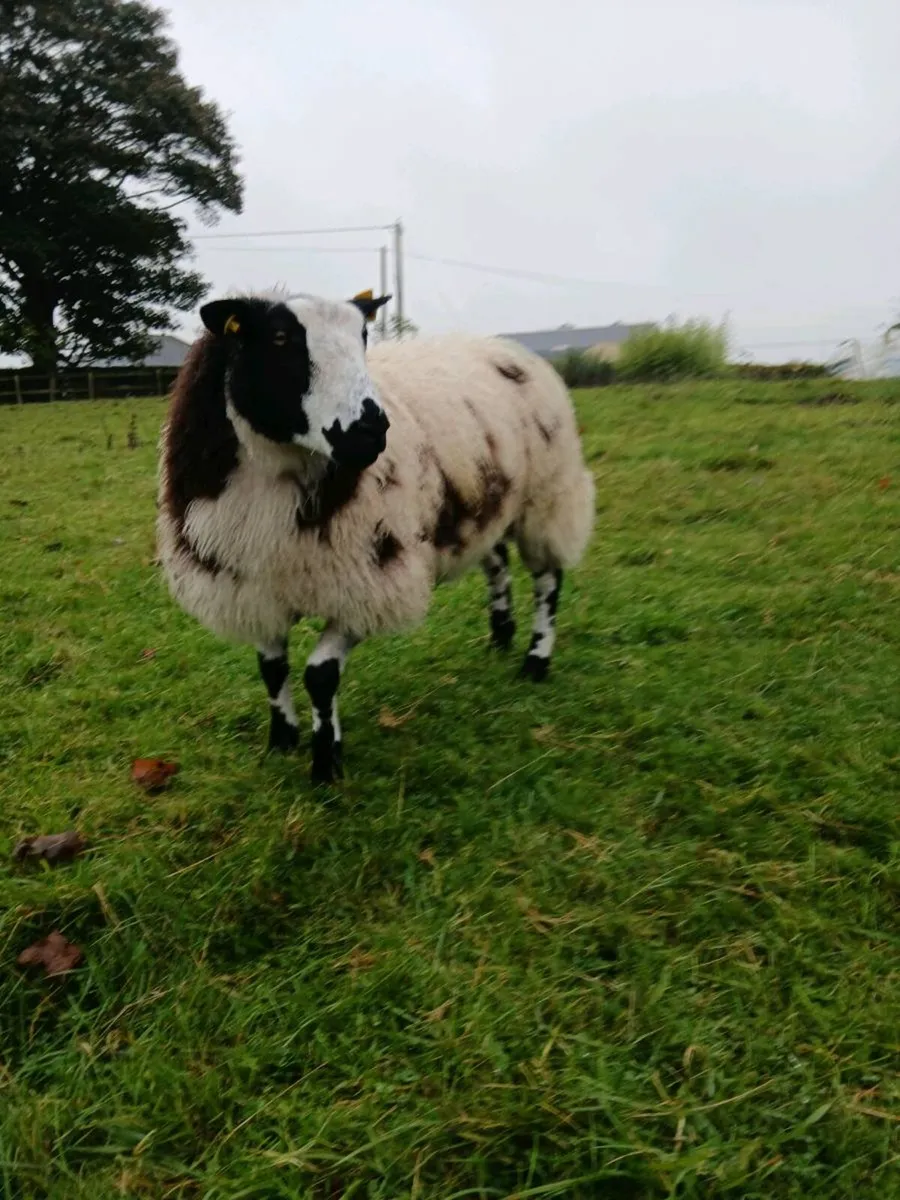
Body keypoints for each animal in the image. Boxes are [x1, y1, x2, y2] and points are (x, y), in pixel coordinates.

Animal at [157, 290, 595, 783]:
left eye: (363, 335)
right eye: (280, 337)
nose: (369, 430)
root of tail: (504, 345)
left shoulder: (368, 585)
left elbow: (320, 675)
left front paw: (326, 760)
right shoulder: (256, 586)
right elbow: (271, 668)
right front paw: (282, 740)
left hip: (547, 495)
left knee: (548, 580)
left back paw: (536, 660)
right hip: (487, 499)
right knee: (496, 561)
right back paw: (501, 637)